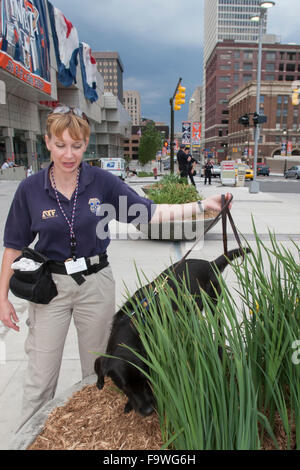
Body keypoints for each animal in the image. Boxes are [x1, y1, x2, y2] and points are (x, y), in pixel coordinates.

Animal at [95, 248, 248, 416]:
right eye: (124, 386)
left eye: (145, 378)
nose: (148, 410)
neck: (133, 322)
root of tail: (210, 263)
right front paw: (129, 404)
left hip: (214, 305)